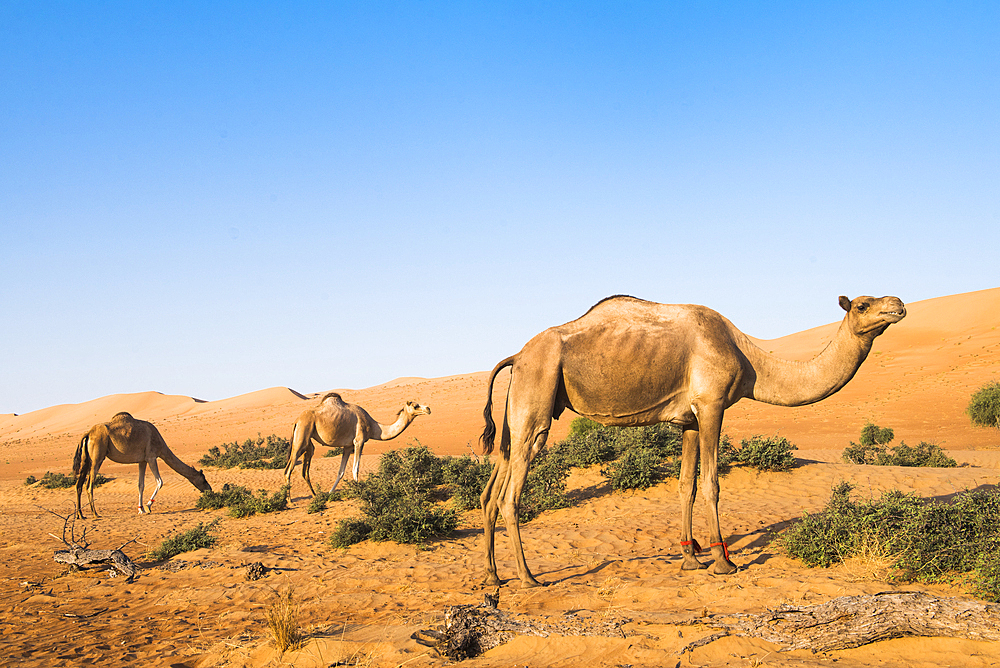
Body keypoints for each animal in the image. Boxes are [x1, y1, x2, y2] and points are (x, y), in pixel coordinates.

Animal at [75, 412, 214, 520]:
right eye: (204, 479)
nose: (210, 490)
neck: (161, 445)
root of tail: (88, 434)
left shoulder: (142, 461)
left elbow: (140, 485)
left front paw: (140, 509)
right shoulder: (151, 457)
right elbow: (160, 481)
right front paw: (148, 507)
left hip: (86, 460)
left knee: (79, 484)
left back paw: (80, 515)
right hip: (97, 458)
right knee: (89, 485)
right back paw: (95, 513)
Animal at [286, 392, 434, 496]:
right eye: (415, 405)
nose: (428, 408)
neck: (374, 427)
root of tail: (296, 421)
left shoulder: (347, 446)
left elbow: (341, 471)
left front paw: (330, 493)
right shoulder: (359, 441)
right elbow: (355, 468)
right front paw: (359, 492)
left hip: (305, 440)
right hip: (302, 435)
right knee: (289, 469)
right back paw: (289, 501)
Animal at [480, 294, 912, 588]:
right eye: (863, 305)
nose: (898, 304)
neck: (749, 359)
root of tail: (516, 355)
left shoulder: (687, 418)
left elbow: (686, 484)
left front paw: (690, 557)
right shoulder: (711, 404)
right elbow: (711, 483)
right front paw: (723, 561)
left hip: (518, 410)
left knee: (490, 492)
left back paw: (493, 578)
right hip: (536, 399)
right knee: (509, 496)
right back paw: (528, 577)